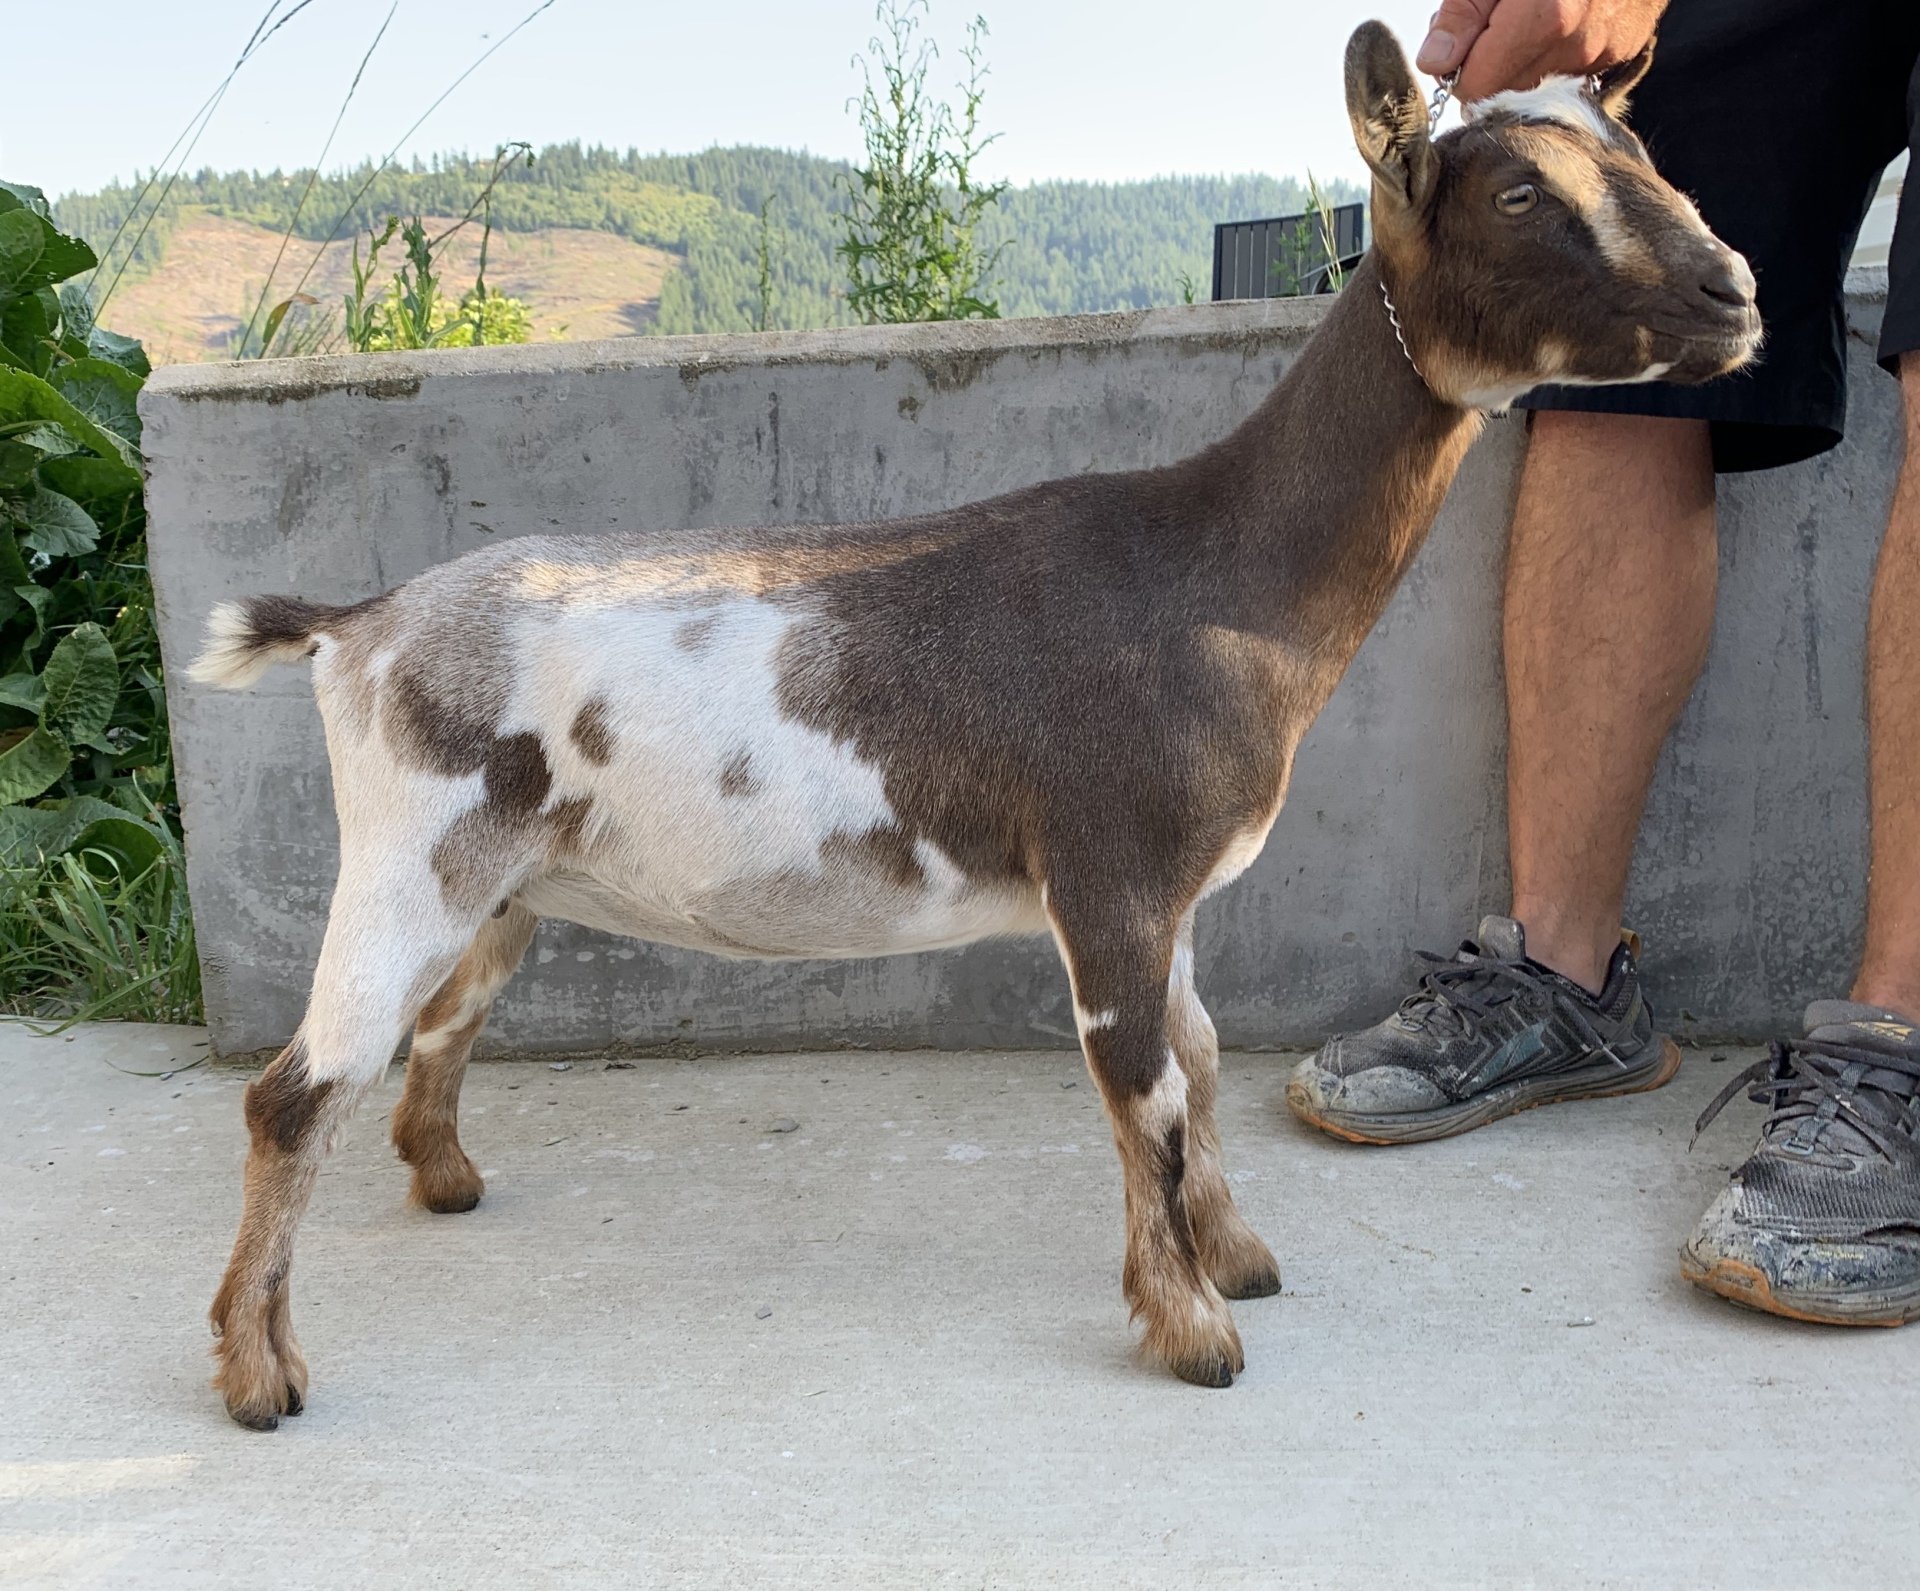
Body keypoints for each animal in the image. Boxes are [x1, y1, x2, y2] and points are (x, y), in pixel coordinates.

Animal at [191, 23, 1759, 1428]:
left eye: (1639, 150)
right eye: (1519, 195)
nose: (1734, 288)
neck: (1214, 572)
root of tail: (360, 623)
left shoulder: (1174, 892)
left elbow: (1201, 1058)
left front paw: (1236, 1257)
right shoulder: (1111, 873)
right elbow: (1146, 1092)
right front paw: (1192, 1329)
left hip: (506, 880)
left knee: (437, 1019)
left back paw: (443, 1181)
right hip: (414, 854)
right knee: (292, 1092)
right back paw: (260, 1374)